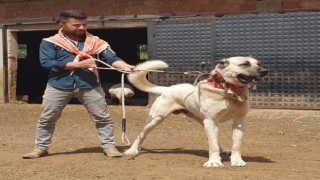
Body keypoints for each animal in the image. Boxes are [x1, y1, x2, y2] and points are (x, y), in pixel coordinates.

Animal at [124, 56, 268, 167]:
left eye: (259, 64)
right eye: (245, 64)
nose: (265, 71)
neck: (228, 91)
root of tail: (167, 89)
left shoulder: (239, 121)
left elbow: (236, 144)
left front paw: (237, 161)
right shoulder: (211, 120)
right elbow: (213, 146)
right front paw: (214, 162)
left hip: (202, 121)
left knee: (215, 139)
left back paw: (225, 149)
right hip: (156, 120)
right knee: (141, 135)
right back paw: (132, 150)